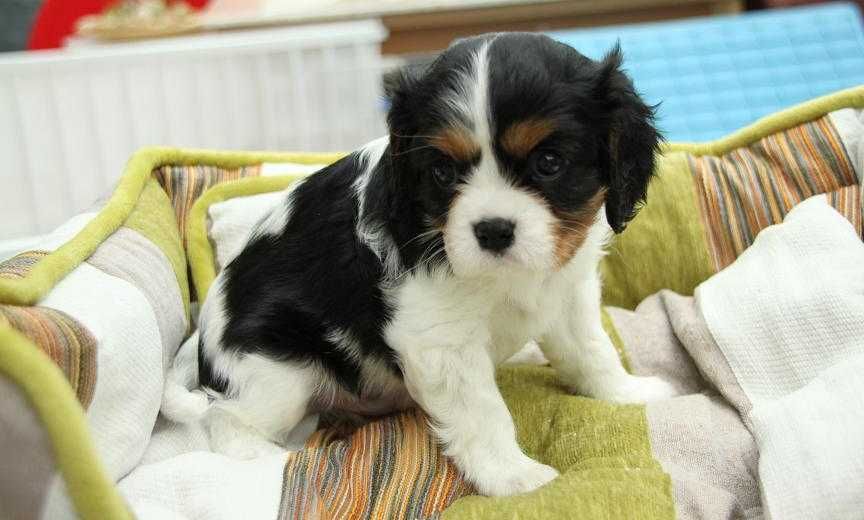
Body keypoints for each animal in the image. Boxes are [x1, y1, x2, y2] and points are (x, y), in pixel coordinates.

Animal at [163, 32, 676, 497]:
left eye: (549, 162)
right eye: (443, 172)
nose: (492, 229)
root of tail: (204, 336)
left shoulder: (567, 292)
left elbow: (591, 350)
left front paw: (627, 394)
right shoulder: (441, 339)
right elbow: (482, 411)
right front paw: (513, 476)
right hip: (277, 373)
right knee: (227, 420)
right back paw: (264, 458)